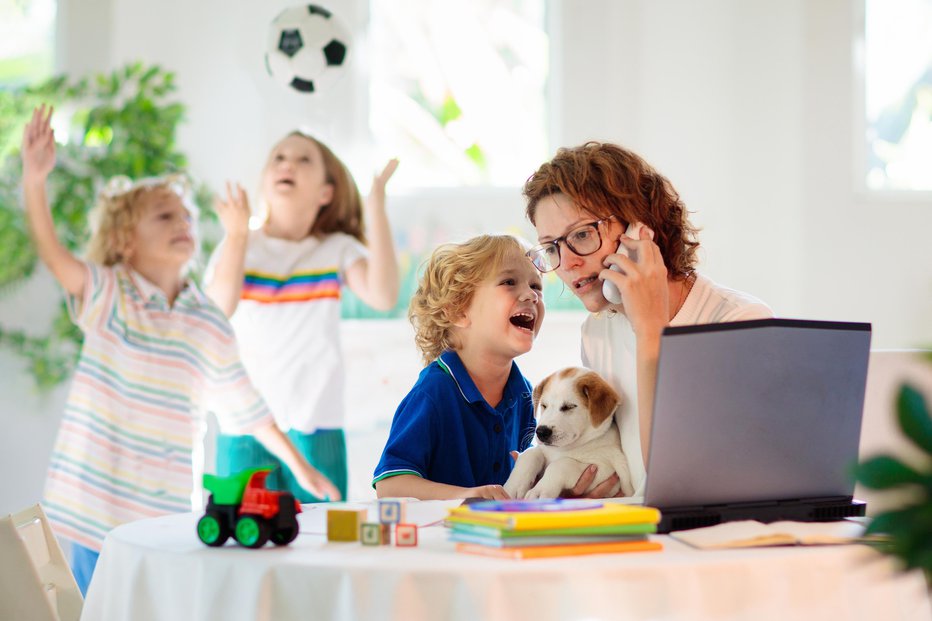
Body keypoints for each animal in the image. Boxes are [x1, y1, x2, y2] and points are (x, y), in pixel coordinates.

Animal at [506, 368, 636, 498]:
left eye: (568, 407)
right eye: (544, 405)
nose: (541, 432)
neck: (564, 449)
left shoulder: (603, 469)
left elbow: (563, 464)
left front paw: (539, 491)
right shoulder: (545, 450)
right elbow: (529, 454)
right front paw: (513, 487)